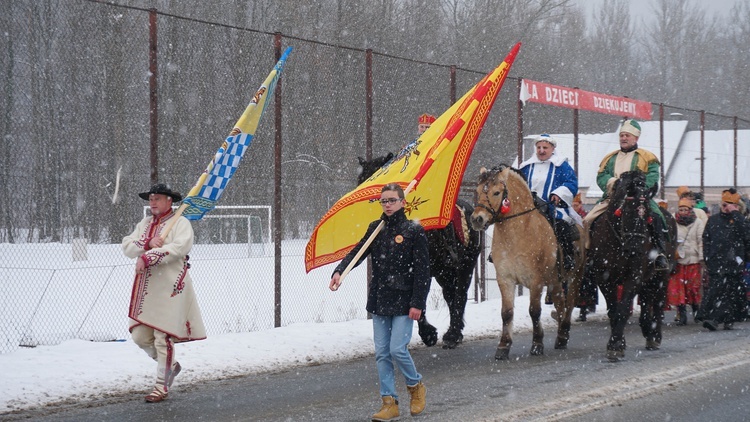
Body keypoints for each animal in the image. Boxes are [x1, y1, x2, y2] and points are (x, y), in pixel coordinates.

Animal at [356, 153, 482, 348]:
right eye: (360, 182)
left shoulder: (422, 268)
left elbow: (417, 299)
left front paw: (429, 334)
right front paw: (428, 334)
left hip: (466, 266)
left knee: (460, 295)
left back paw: (453, 334)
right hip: (444, 273)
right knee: (450, 295)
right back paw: (456, 331)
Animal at [470, 165, 588, 360]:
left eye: (496, 192)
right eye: (478, 191)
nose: (477, 219)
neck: (518, 231)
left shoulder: (536, 281)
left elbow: (534, 310)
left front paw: (537, 344)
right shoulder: (505, 279)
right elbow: (506, 313)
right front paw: (503, 346)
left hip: (575, 276)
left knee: (570, 302)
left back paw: (563, 335)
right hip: (556, 281)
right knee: (560, 303)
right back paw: (559, 336)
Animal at [584, 170, 680, 362]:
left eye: (647, 213)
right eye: (626, 211)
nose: (635, 249)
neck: (618, 242)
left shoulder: (634, 276)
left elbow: (622, 309)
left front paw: (615, 346)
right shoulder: (604, 279)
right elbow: (613, 310)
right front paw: (618, 343)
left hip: (661, 276)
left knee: (658, 303)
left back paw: (654, 336)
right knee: (646, 302)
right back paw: (647, 331)